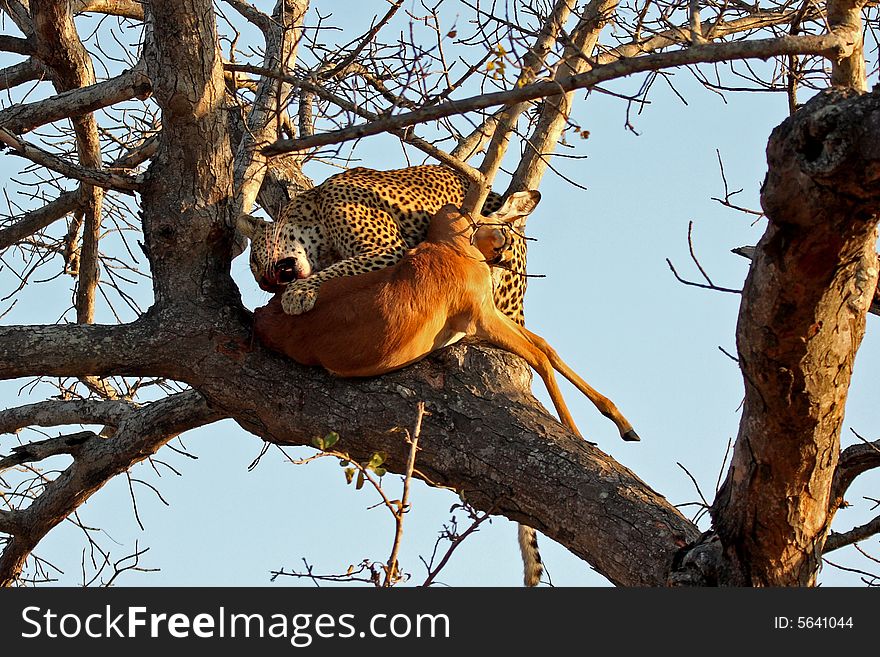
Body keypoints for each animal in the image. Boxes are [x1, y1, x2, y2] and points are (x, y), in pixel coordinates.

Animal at [237, 164, 544, 584]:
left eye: (255, 266)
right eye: (258, 278)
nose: (267, 285)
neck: (313, 215)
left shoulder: (386, 249)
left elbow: (339, 269)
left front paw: (298, 295)